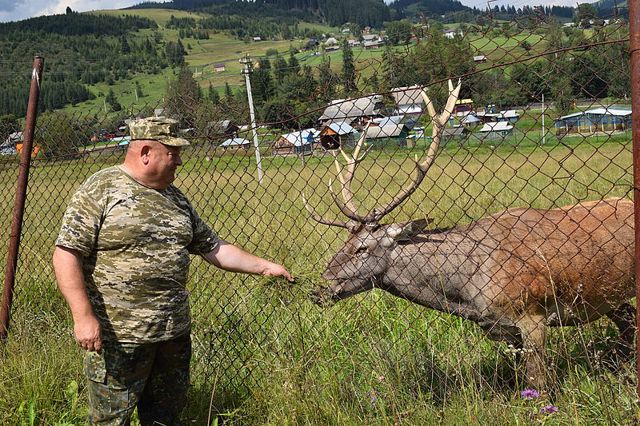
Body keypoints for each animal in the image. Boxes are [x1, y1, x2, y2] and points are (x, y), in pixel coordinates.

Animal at [304, 80, 636, 390]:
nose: (321, 286)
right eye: (344, 243)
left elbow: (537, 382)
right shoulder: (500, 329)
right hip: (611, 295)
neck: (467, 293)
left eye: (362, 248)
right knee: (629, 324)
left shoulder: (532, 313)